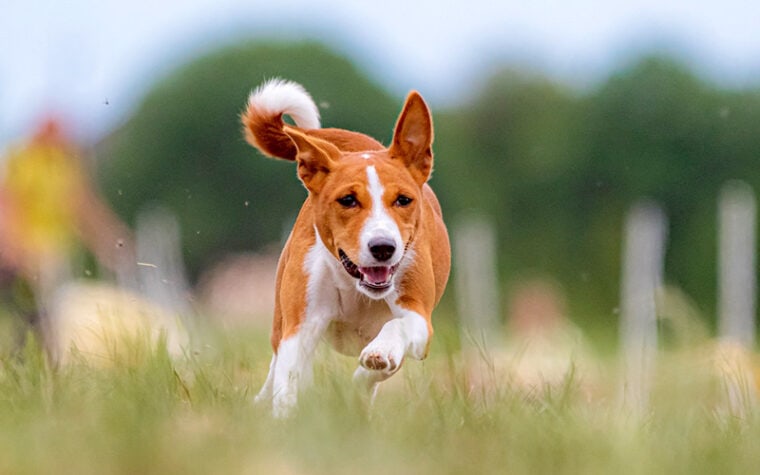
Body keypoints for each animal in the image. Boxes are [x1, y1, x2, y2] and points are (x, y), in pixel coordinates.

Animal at [240, 78, 448, 416]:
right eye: (348, 200)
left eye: (403, 199)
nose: (383, 247)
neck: (357, 289)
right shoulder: (300, 325)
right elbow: (288, 377)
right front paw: (286, 418)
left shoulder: (419, 318)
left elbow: (393, 335)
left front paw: (377, 357)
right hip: (281, 319)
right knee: (277, 366)